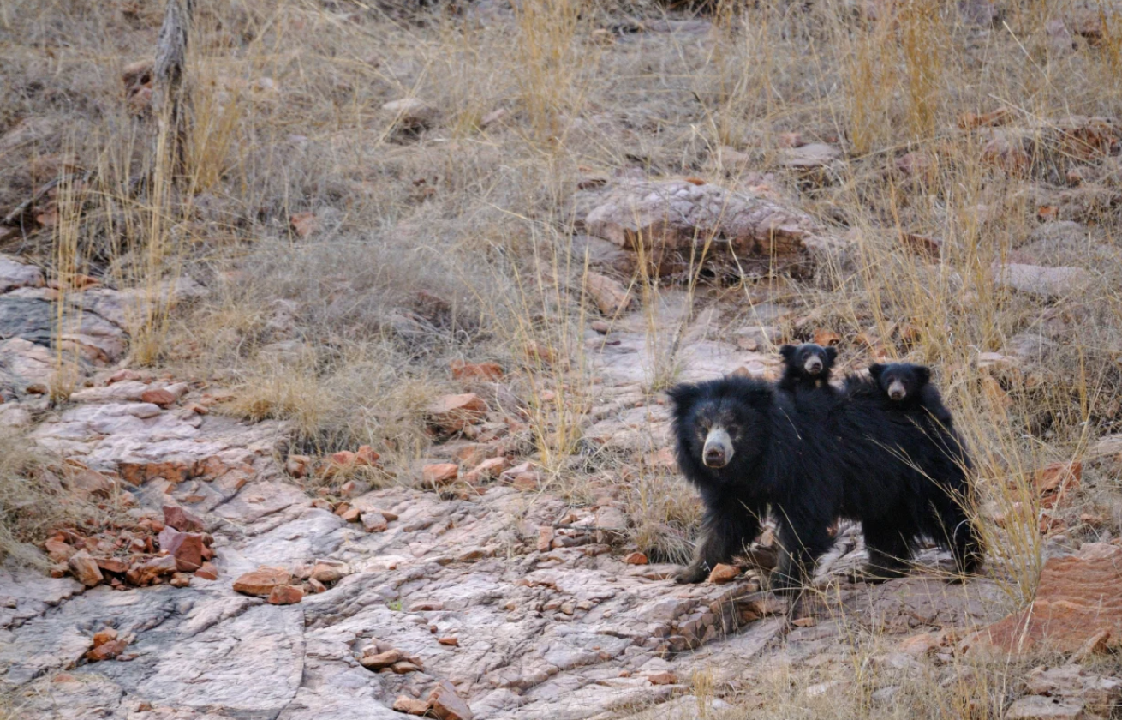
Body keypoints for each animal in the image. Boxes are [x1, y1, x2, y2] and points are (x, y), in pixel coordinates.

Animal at [668, 372, 978, 587]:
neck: (759, 460)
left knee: (946, 510)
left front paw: (780, 579)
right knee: (886, 525)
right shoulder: (735, 487)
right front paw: (687, 572)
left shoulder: (806, 467)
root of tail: (934, 408)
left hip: (922, 466)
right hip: (885, 485)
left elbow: (802, 521)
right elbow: (727, 522)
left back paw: (963, 566)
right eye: (702, 428)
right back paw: (876, 571)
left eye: (734, 427)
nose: (714, 454)